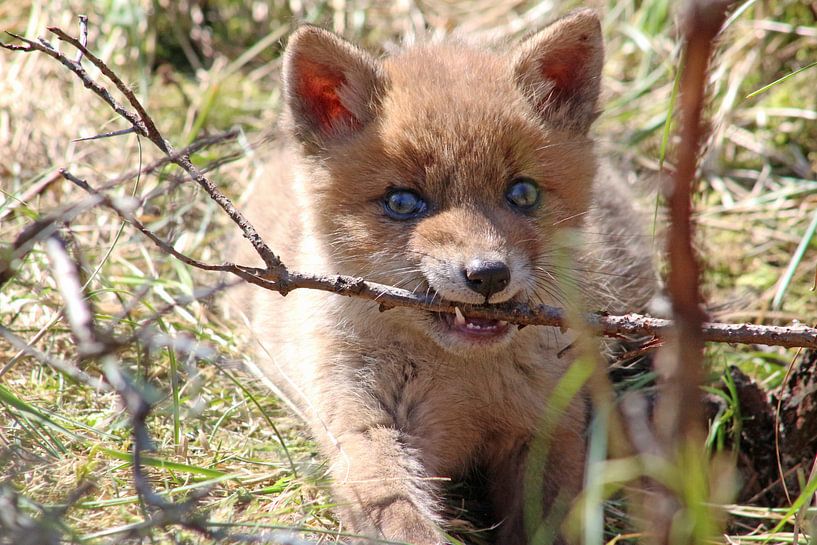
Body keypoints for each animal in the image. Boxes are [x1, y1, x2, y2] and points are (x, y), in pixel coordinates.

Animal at [227, 8, 659, 545]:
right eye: (403, 202)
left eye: (523, 193)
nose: (489, 275)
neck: (465, 385)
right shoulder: (363, 425)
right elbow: (402, 518)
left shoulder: (546, 428)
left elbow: (549, 520)